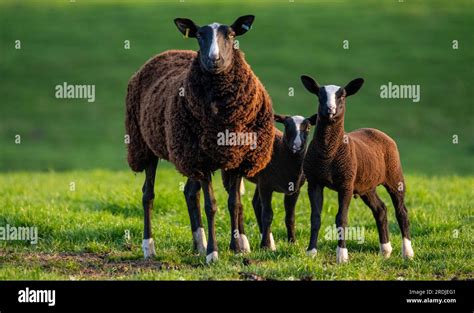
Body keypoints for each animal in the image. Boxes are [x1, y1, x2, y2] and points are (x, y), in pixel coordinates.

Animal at [124, 15, 276, 262]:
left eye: (231, 35)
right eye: (198, 36)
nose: (214, 59)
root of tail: (166, 52)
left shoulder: (239, 158)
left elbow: (234, 203)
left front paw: (237, 246)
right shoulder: (202, 161)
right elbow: (211, 206)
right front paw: (214, 253)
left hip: (186, 156)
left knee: (189, 192)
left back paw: (199, 244)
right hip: (146, 146)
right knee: (148, 194)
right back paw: (149, 246)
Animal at [300, 74, 414, 262]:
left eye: (342, 96)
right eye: (320, 96)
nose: (330, 110)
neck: (328, 154)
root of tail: (377, 131)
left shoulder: (345, 183)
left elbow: (341, 219)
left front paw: (342, 255)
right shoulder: (314, 182)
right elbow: (315, 218)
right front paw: (311, 252)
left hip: (395, 176)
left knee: (401, 212)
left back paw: (408, 252)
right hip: (365, 185)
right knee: (381, 209)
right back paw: (386, 250)